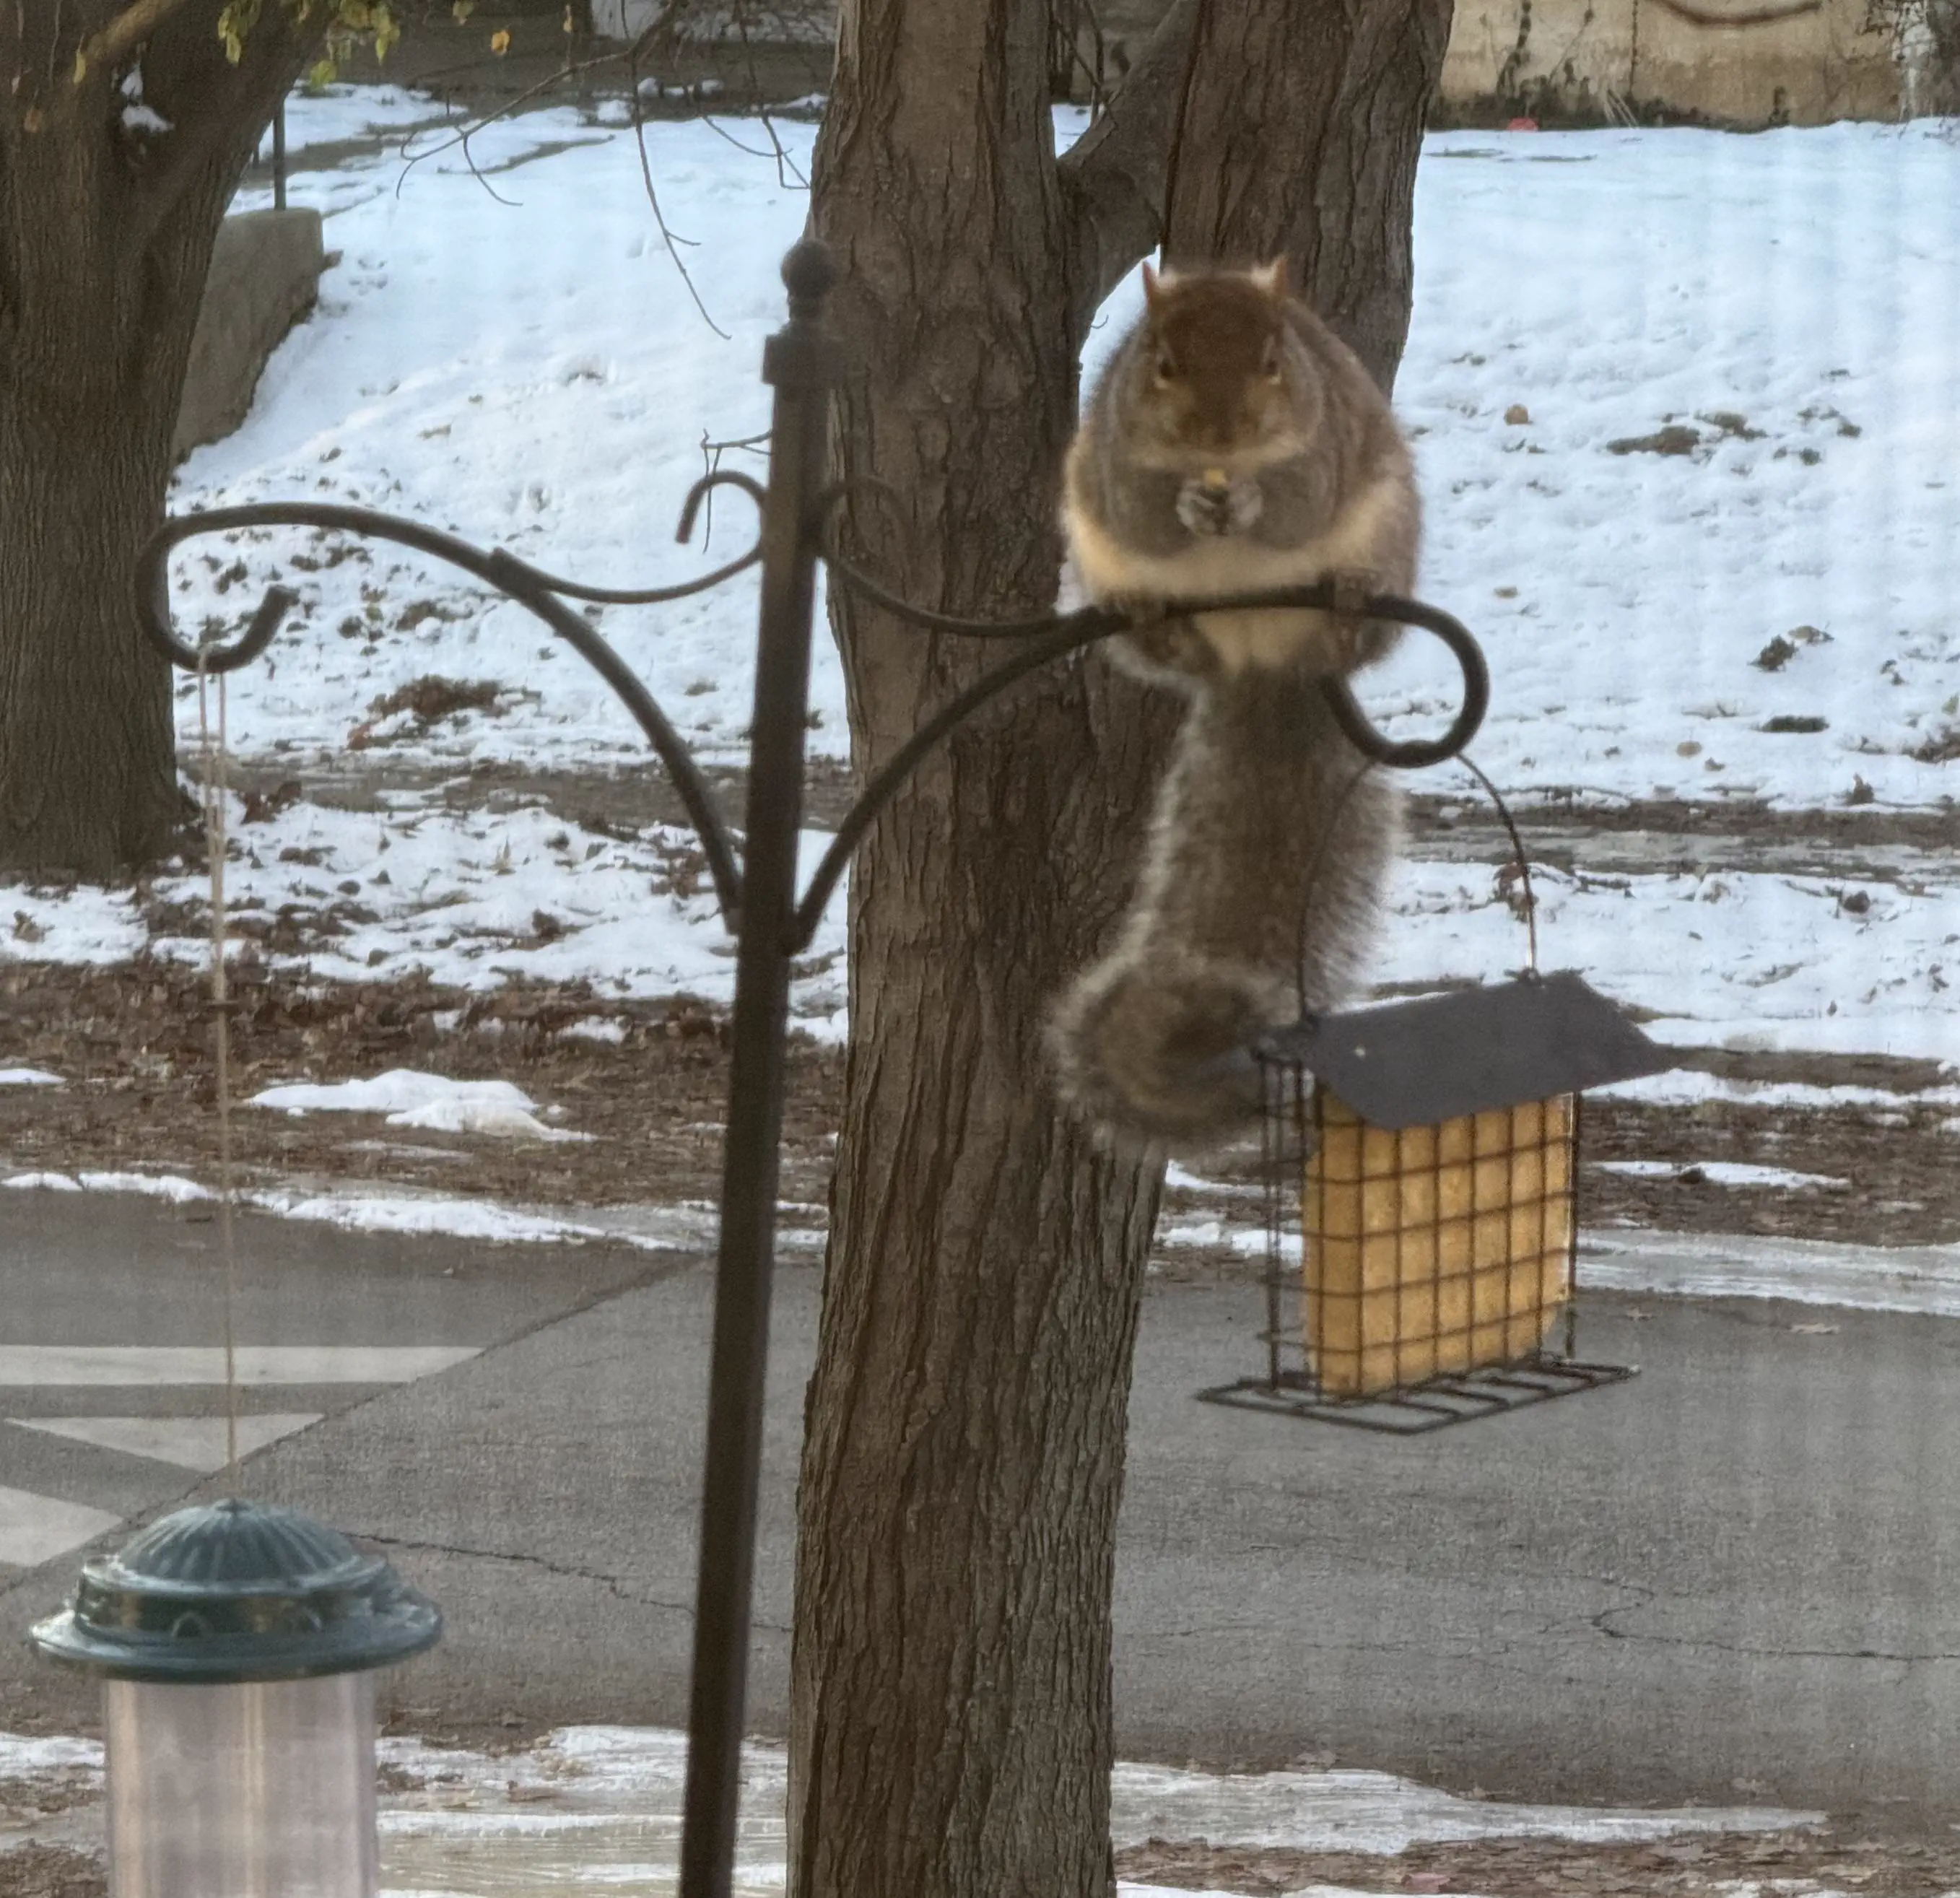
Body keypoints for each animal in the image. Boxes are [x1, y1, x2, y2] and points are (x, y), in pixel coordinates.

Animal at [1047, 260, 1419, 1147]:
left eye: (1274, 362)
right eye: (1162, 363)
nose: (1220, 436)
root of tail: (1261, 662)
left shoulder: (1324, 448)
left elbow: (1296, 501)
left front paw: (1249, 502)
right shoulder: (1112, 468)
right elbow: (1146, 510)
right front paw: (1188, 506)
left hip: (1385, 524)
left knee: (1357, 627)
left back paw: (1349, 605)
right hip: (1096, 557)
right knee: (1158, 637)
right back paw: (1160, 624)